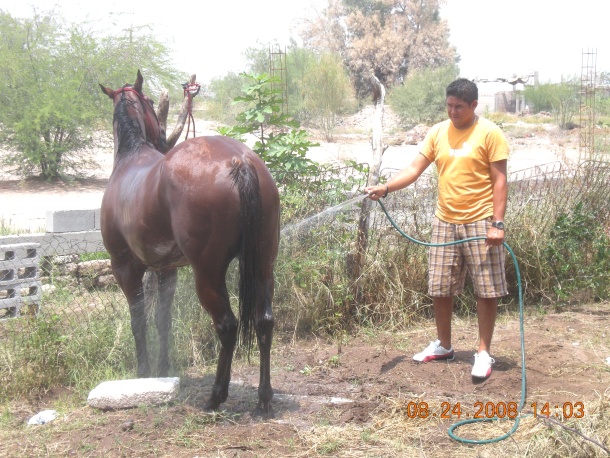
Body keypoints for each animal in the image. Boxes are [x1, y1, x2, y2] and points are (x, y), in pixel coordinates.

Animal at [100, 71, 280, 412]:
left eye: (150, 100)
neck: (131, 156)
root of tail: (239, 161)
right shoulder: (166, 270)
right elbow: (162, 321)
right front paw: (162, 370)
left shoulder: (125, 268)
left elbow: (138, 321)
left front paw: (144, 372)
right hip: (264, 265)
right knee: (264, 321)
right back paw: (264, 397)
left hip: (207, 274)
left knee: (227, 326)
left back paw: (215, 396)